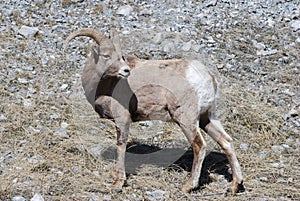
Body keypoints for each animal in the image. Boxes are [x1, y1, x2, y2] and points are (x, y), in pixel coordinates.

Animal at [65, 27, 244, 193]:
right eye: (106, 56)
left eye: (120, 56)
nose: (126, 71)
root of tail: (207, 76)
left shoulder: (122, 119)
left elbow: (121, 145)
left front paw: (118, 183)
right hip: (207, 118)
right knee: (226, 141)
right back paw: (234, 186)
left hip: (186, 119)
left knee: (199, 146)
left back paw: (187, 186)